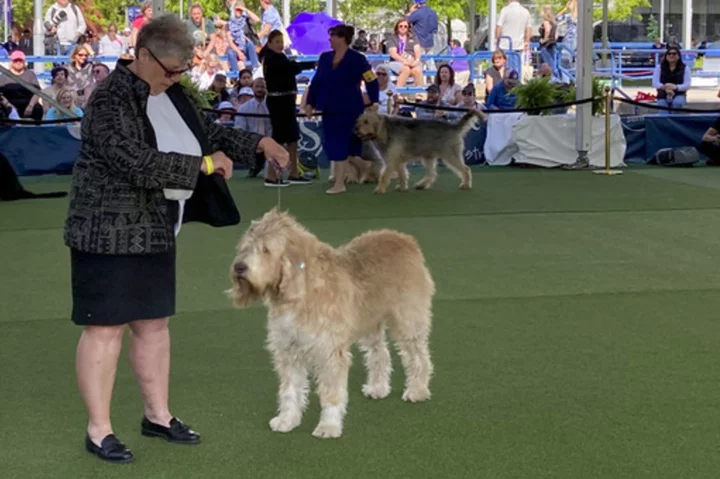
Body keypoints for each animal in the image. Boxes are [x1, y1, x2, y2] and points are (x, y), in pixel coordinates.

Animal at [228, 208, 436, 440]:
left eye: (266, 250)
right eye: (245, 247)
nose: (239, 267)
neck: (300, 293)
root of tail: (405, 239)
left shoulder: (329, 353)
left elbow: (331, 392)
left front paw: (328, 426)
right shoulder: (289, 352)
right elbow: (289, 391)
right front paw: (287, 419)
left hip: (408, 320)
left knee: (418, 356)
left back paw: (418, 389)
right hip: (369, 324)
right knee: (380, 353)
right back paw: (378, 387)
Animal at [354, 109, 484, 194]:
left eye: (366, 122)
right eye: (358, 121)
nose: (355, 129)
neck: (386, 130)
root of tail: (453, 126)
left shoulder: (391, 161)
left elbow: (384, 176)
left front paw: (380, 189)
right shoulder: (398, 161)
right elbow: (402, 174)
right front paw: (403, 187)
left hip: (450, 155)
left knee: (465, 169)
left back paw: (466, 184)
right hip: (428, 157)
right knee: (431, 174)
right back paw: (422, 185)